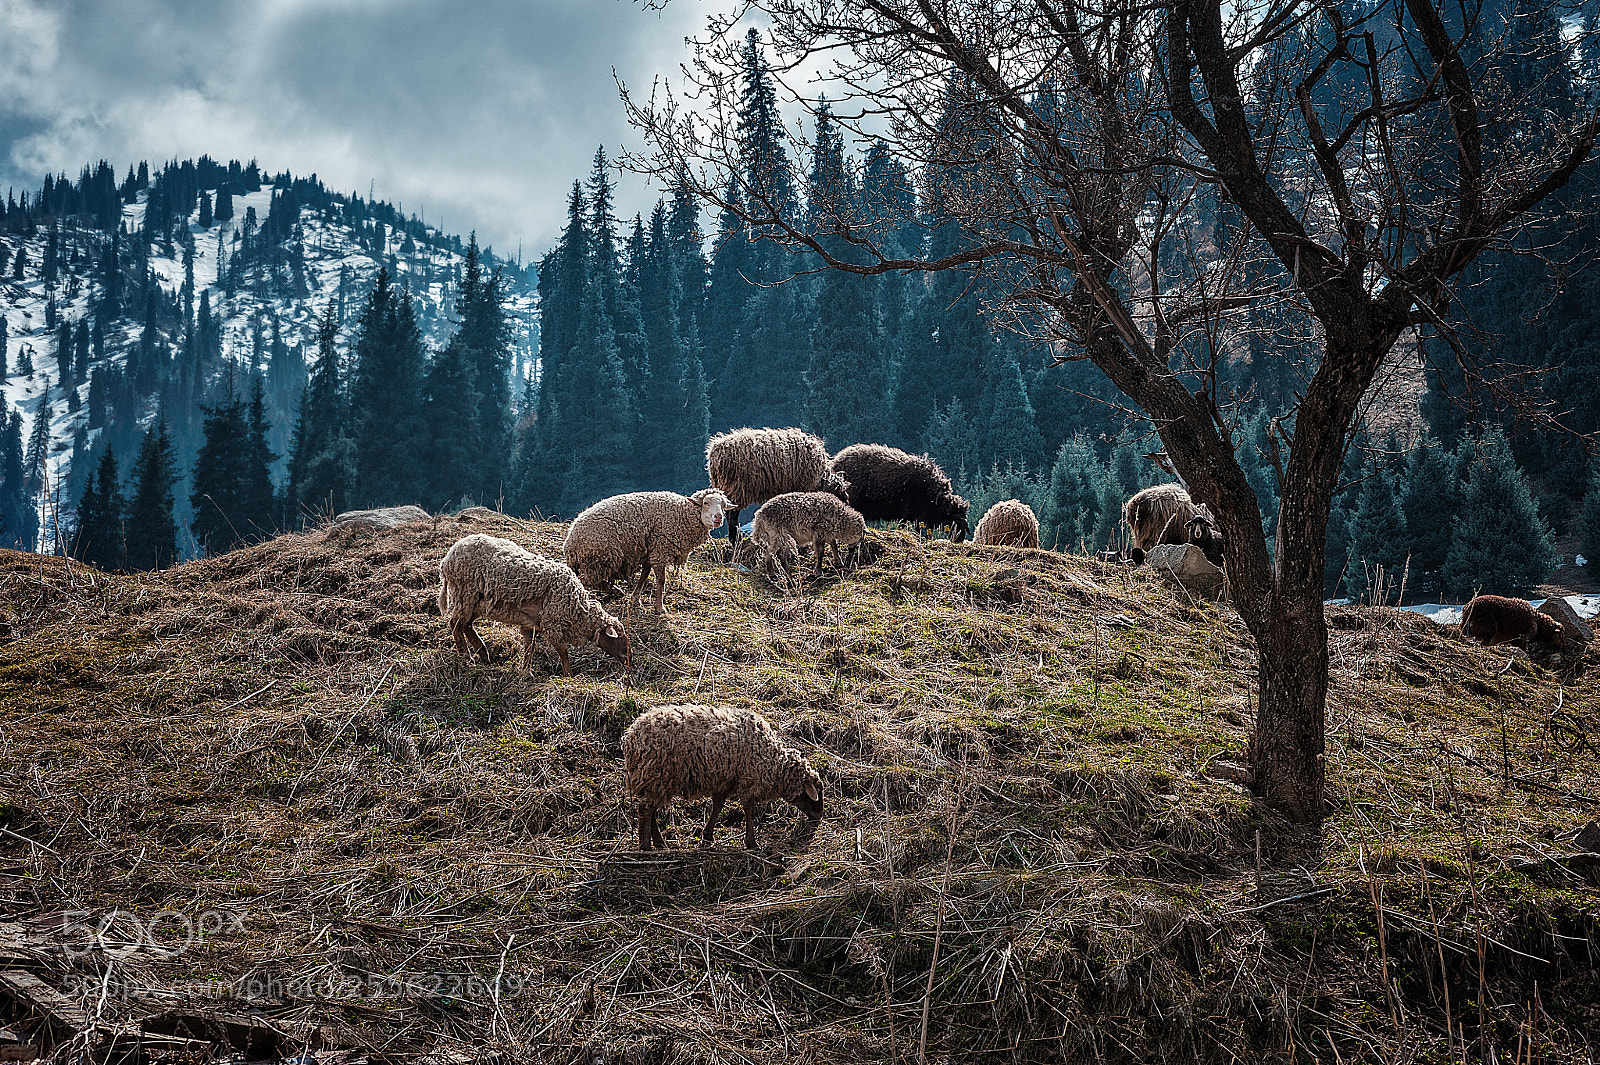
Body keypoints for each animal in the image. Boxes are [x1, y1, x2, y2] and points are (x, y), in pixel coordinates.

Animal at [437, 533, 629, 676]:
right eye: (619, 639)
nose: (629, 660)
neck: (577, 611)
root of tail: (447, 558)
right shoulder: (551, 622)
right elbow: (562, 651)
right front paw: (569, 675)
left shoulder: (530, 623)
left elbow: (530, 647)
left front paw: (526, 671)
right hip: (465, 594)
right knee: (456, 625)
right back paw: (466, 656)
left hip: (478, 602)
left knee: (466, 625)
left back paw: (483, 654)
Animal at [562, 489, 731, 613]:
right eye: (706, 503)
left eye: (723, 506)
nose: (719, 517)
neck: (682, 514)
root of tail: (570, 544)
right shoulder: (660, 550)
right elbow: (661, 580)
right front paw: (659, 608)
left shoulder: (651, 550)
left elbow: (644, 575)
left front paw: (636, 599)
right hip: (601, 557)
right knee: (585, 580)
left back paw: (615, 590)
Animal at [621, 704, 824, 851]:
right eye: (814, 794)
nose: (818, 817)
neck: (774, 763)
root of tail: (631, 739)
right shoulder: (748, 781)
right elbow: (749, 810)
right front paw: (752, 843)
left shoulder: (724, 780)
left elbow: (718, 806)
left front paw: (707, 837)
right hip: (656, 775)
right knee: (645, 809)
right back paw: (646, 847)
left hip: (656, 780)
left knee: (650, 810)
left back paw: (660, 843)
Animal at [706, 428, 851, 551]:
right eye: (840, 496)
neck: (820, 479)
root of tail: (715, 454)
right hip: (736, 488)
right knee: (732, 515)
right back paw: (735, 539)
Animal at [829, 443, 971, 541]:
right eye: (957, 523)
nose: (959, 540)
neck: (937, 499)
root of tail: (835, 462)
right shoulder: (910, 510)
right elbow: (905, 525)